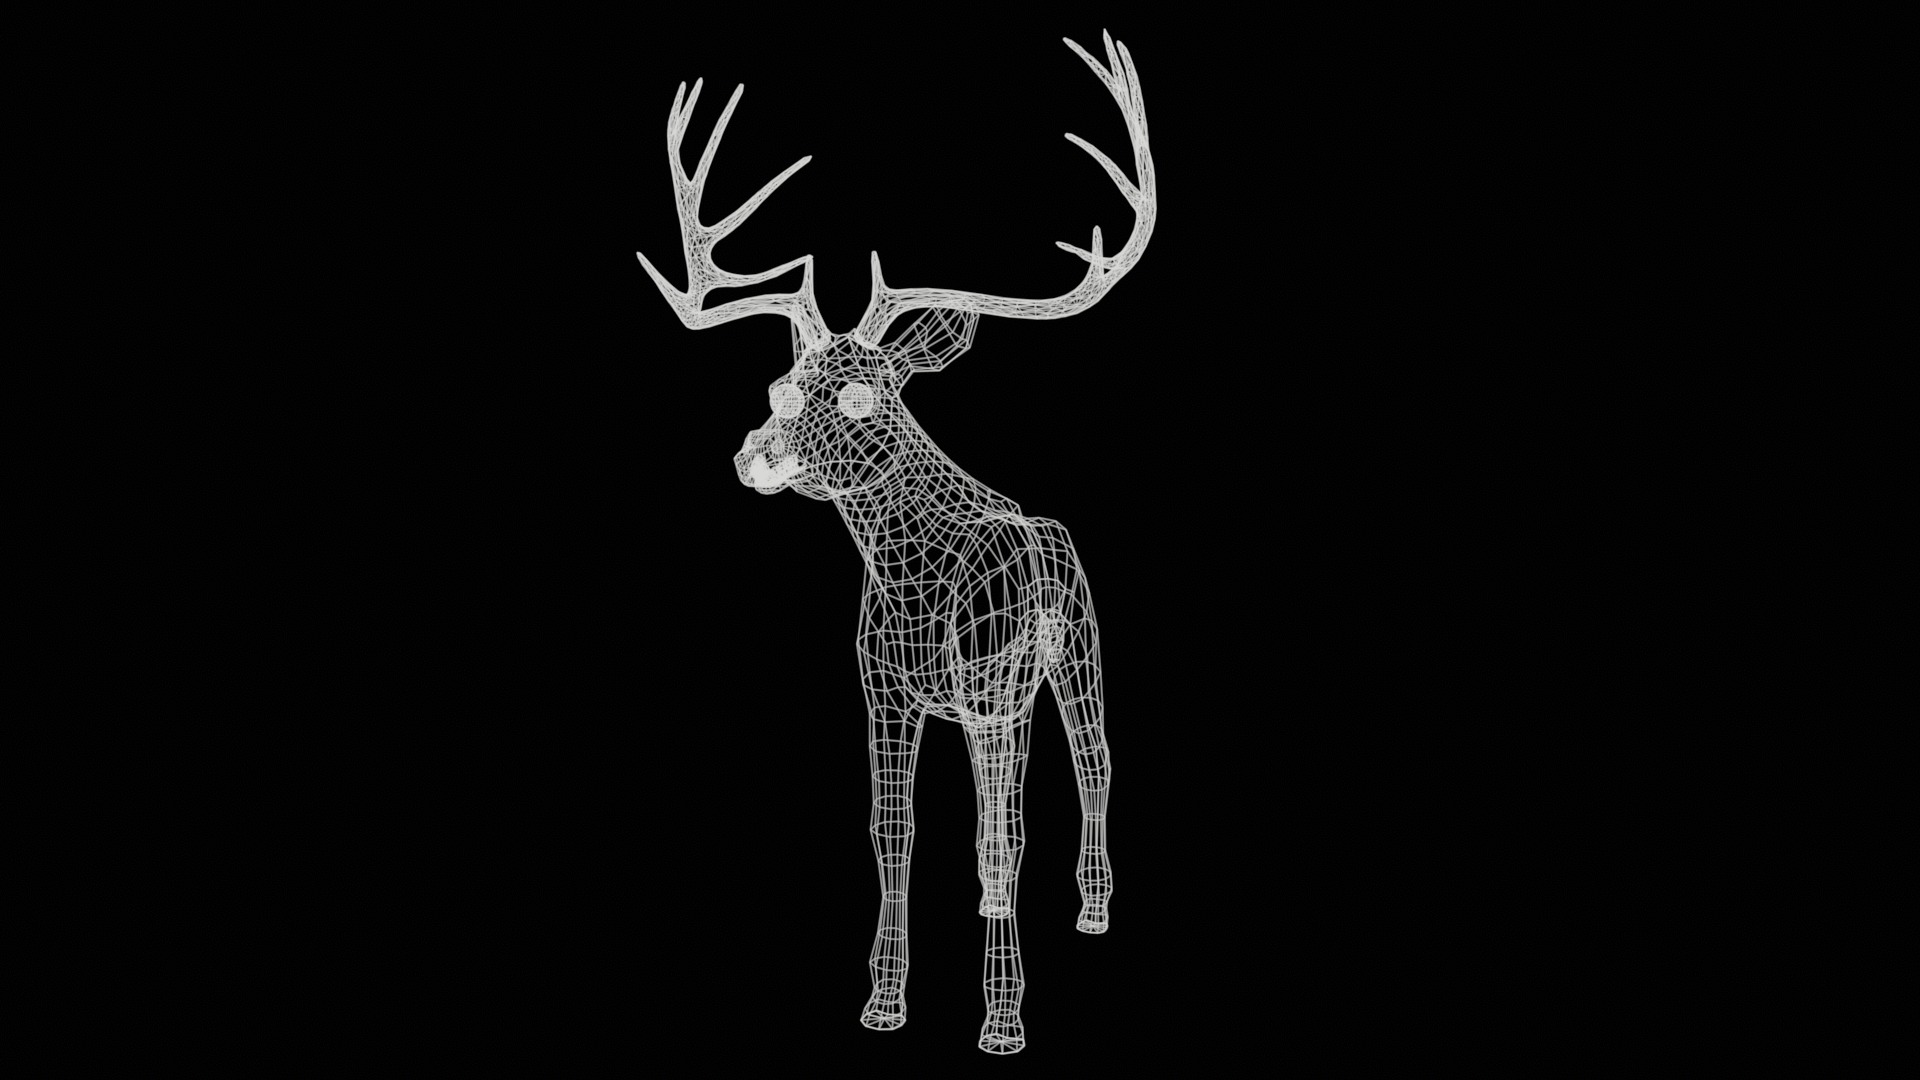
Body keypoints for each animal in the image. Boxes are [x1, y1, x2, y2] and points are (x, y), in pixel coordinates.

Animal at [635, 30, 1153, 1055]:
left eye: (862, 395)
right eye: (781, 386)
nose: (753, 454)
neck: (914, 580)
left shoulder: (991, 691)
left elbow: (1001, 837)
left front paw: (1002, 1018)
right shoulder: (880, 687)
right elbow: (893, 830)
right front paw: (883, 1001)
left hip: (1070, 646)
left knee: (1093, 761)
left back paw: (1092, 909)